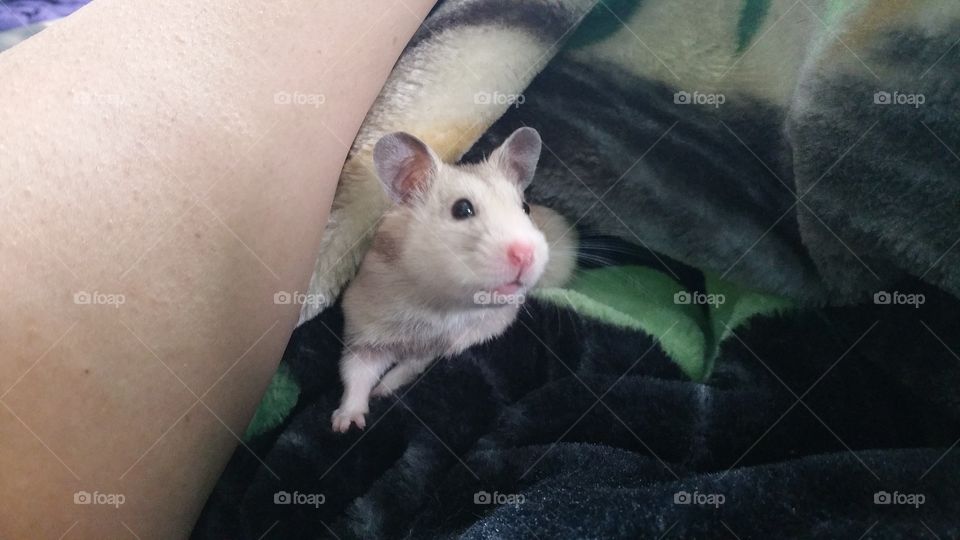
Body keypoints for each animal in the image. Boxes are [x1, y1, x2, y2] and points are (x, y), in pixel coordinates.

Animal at [331, 127, 550, 433]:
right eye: (462, 209)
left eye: (526, 208)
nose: (527, 254)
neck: (442, 303)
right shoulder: (365, 332)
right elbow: (356, 373)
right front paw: (346, 424)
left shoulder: (435, 347)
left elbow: (408, 368)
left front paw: (383, 392)